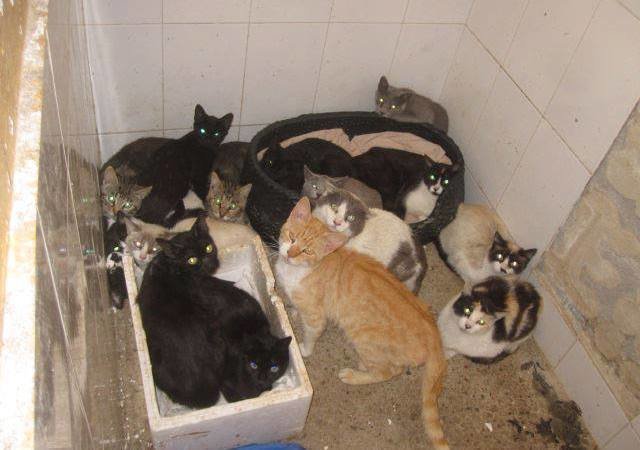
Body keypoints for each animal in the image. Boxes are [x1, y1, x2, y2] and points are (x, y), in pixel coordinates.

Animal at [274, 197, 449, 450]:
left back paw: (355, 375)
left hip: (363, 337)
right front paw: (295, 313)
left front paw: (303, 348)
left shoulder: (317, 316)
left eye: (306, 251)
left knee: (389, 371)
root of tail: (433, 330)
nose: (290, 253)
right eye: (292, 237)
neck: (298, 270)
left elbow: (311, 334)